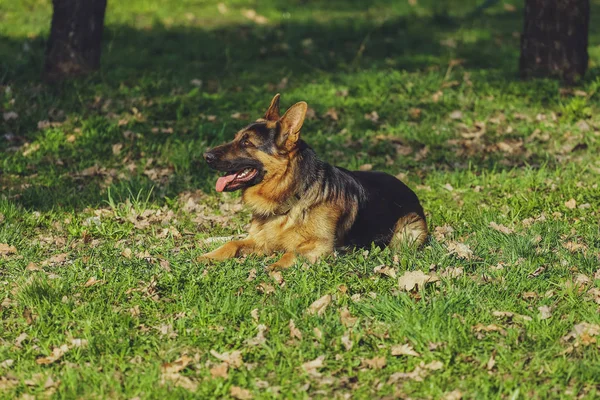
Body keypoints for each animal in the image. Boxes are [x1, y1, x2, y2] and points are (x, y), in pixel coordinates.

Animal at [202, 94, 426, 270]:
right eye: (236, 138)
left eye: (246, 142)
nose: (206, 156)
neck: (292, 196)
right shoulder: (259, 240)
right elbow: (232, 244)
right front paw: (208, 256)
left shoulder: (320, 246)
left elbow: (291, 252)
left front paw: (273, 267)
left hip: (408, 234)